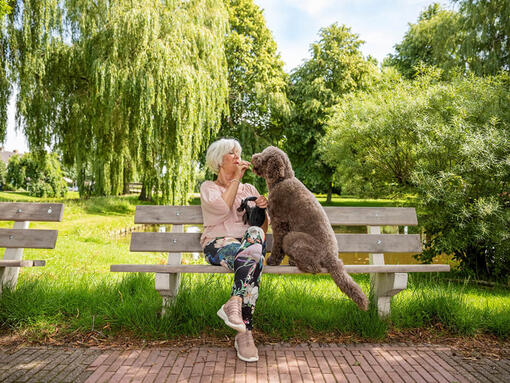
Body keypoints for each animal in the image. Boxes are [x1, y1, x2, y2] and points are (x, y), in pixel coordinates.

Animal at [252, 146, 368, 310]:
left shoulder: (279, 222)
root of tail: (332, 258)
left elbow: (277, 245)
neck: (282, 180)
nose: (253, 157)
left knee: (315, 268)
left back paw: (299, 264)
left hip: (292, 238)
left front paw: (272, 261)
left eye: (264, 157)